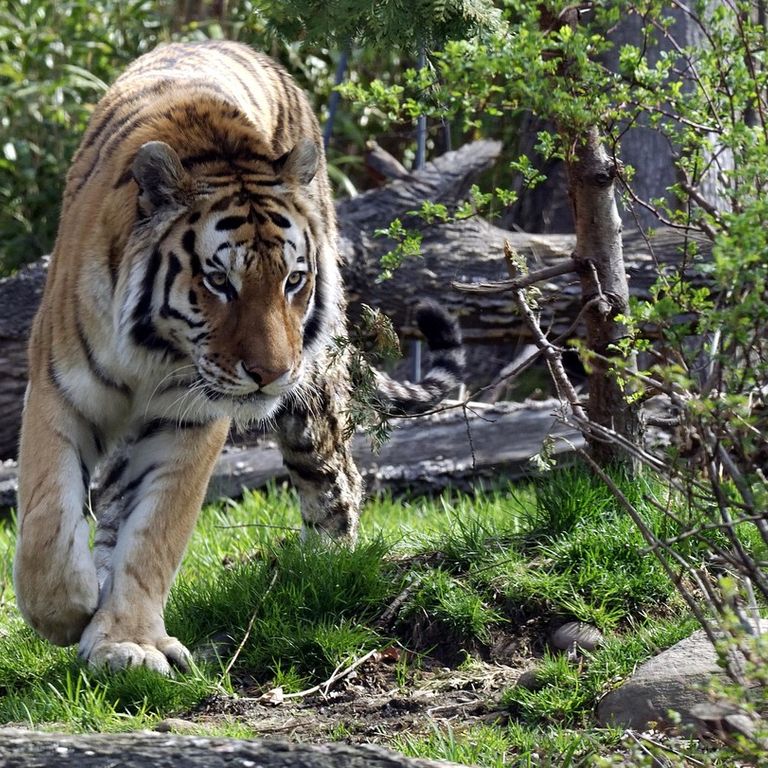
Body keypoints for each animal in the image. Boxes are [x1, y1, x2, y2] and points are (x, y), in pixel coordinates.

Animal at [13, 40, 464, 674]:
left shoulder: (190, 416)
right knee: (110, 503)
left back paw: (329, 571)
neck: (154, 350)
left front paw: (127, 639)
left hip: (312, 401)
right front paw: (73, 611)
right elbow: (47, 518)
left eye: (293, 280)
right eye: (219, 281)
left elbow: (157, 532)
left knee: (337, 481)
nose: (270, 374)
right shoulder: (59, 389)